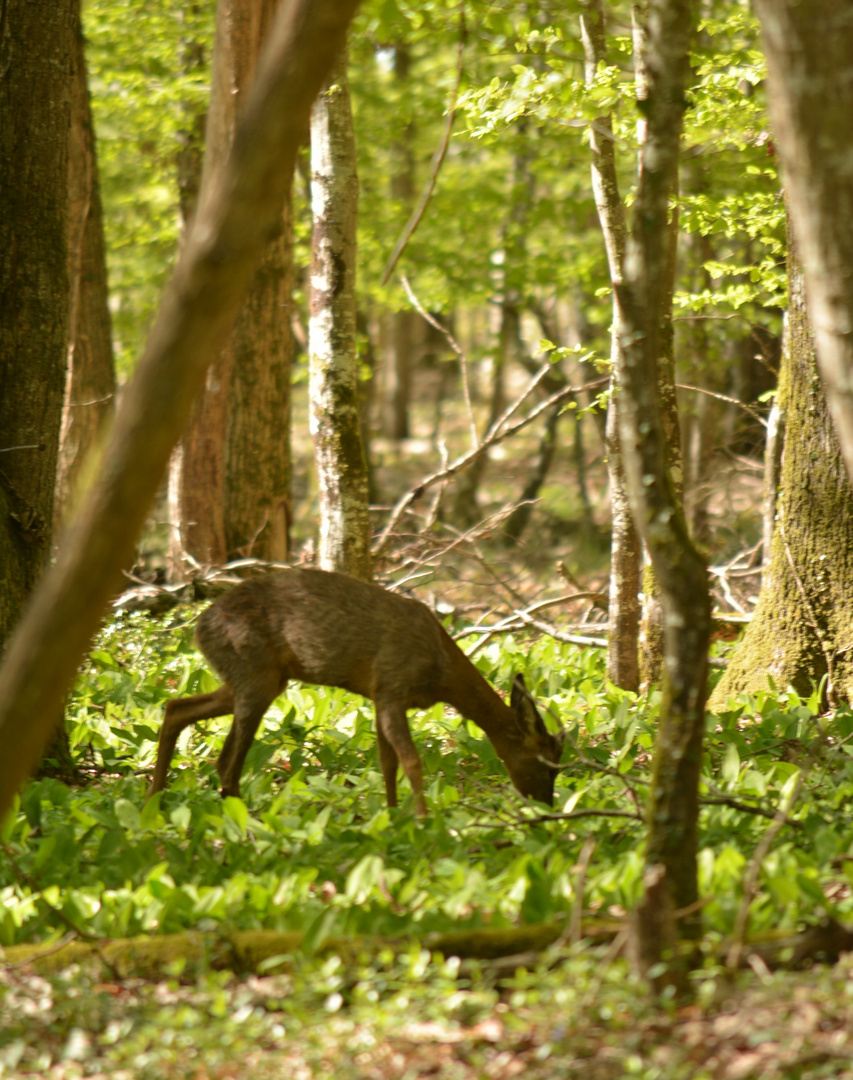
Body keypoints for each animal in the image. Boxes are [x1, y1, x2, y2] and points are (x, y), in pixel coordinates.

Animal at [149, 565, 565, 812]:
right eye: (547, 765)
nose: (547, 805)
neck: (441, 674)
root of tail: (199, 627)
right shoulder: (393, 686)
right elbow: (411, 760)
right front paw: (424, 821)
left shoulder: (381, 697)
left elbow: (387, 761)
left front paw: (393, 815)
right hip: (254, 672)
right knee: (227, 764)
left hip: (255, 677)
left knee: (177, 708)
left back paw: (155, 797)